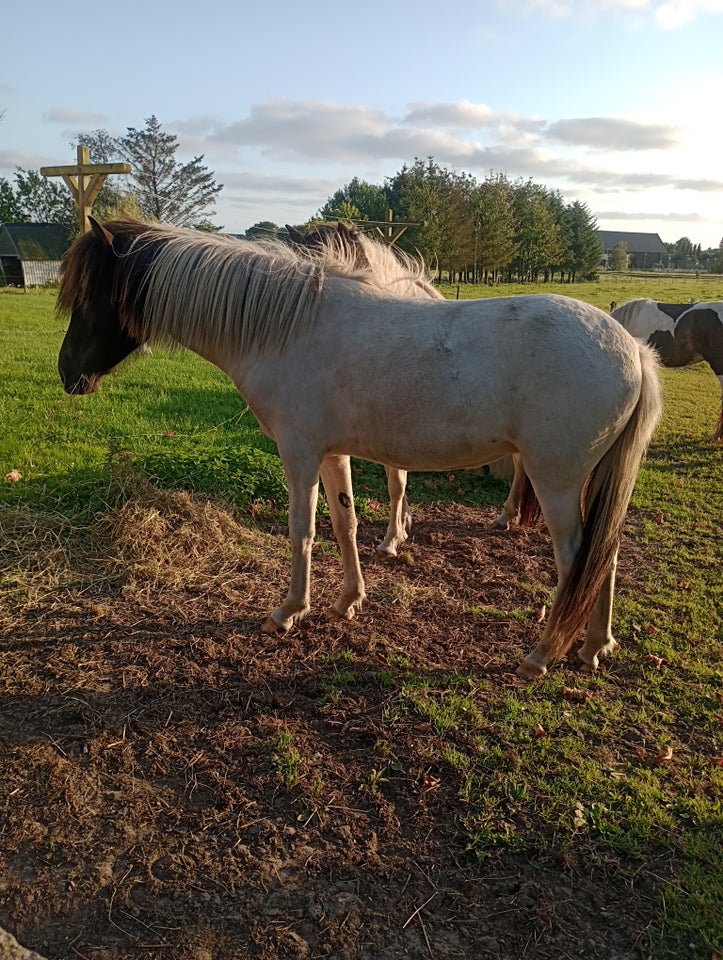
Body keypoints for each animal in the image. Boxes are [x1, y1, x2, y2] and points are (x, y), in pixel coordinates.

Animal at [59, 221, 664, 680]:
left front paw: (288, 612)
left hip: (556, 480)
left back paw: (541, 655)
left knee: (575, 558)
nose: (68, 374)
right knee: (603, 554)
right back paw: (594, 646)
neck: (287, 325)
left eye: (90, 297)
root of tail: (632, 348)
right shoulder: (333, 453)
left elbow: (302, 531)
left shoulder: (299, 452)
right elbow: (344, 523)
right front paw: (348, 600)